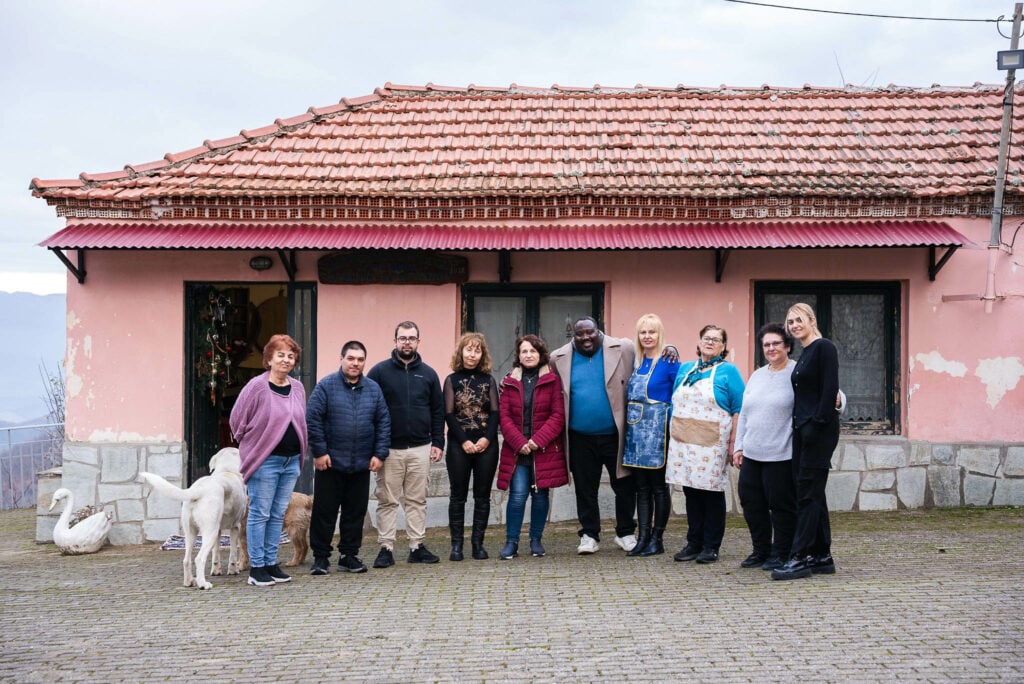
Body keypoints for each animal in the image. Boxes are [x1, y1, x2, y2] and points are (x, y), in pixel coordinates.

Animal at [139, 448, 248, 589]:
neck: (227, 470)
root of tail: (199, 489)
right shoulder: (235, 527)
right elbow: (233, 554)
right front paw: (233, 570)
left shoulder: (218, 530)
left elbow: (216, 553)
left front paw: (216, 571)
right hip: (210, 532)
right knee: (199, 559)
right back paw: (203, 584)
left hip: (191, 532)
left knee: (186, 560)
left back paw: (189, 582)